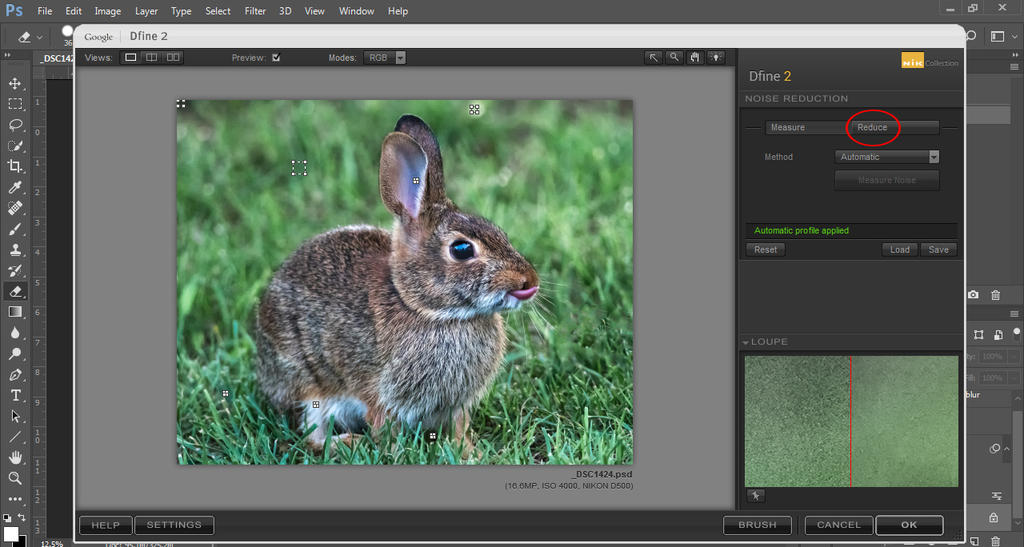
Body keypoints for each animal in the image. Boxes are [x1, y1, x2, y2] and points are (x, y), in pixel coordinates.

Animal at [256, 114, 540, 456]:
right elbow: (383, 429)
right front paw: (395, 453)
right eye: (461, 249)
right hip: (308, 385)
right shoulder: (379, 394)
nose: (529, 280)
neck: (428, 310)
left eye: (499, 233)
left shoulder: (456, 405)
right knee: (312, 434)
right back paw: (348, 442)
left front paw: (471, 452)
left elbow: (460, 428)